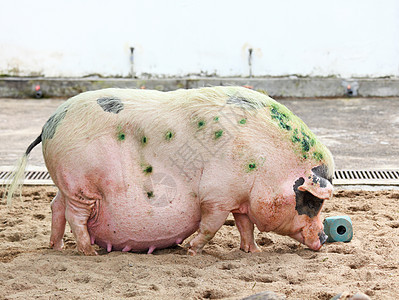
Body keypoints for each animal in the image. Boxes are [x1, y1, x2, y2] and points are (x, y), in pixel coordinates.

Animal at [6, 86, 336, 255]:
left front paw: (253, 252)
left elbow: (245, 225)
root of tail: (48, 123)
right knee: (75, 217)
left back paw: (56, 247)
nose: (325, 238)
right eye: (312, 202)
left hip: (66, 185)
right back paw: (90, 252)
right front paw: (190, 250)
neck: (268, 163)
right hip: (81, 186)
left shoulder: (240, 197)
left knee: (55, 206)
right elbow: (211, 226)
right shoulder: (217, 196)